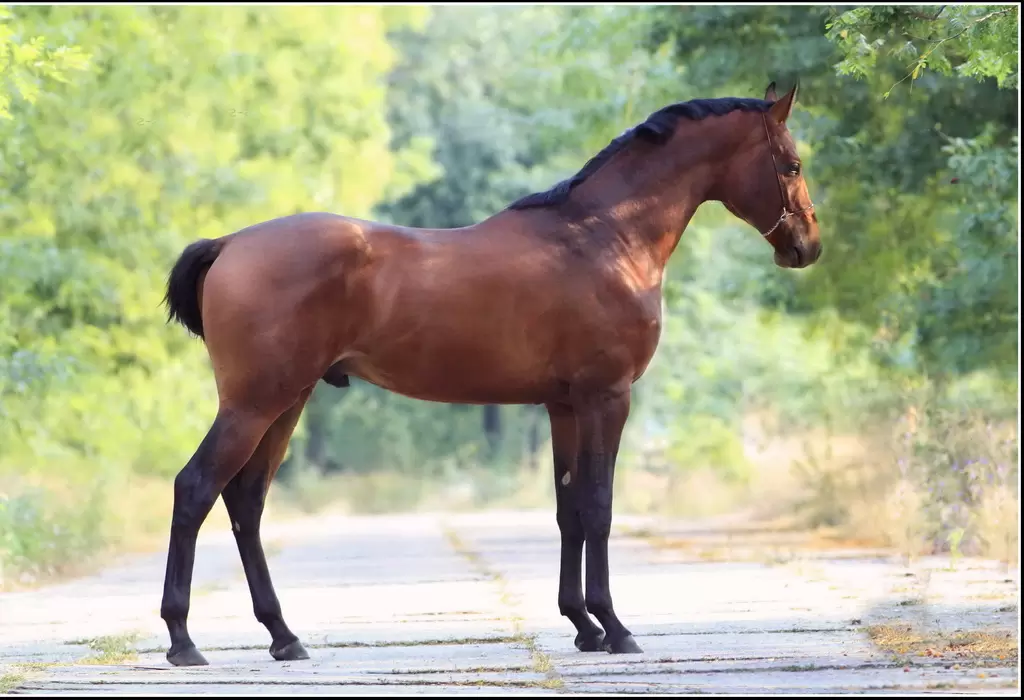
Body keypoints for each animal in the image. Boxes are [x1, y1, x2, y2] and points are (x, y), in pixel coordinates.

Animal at [155, 81, 819, 667]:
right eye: (791, 163)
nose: (807, 246)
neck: (604, 236)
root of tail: (230, 243)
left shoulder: (563, 406)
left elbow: (569, 508)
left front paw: (583, 626)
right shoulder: (607, 398)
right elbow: (599, 506)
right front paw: (616, 627)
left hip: (285, 403)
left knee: (245, 503)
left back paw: (284, 636)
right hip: (254, 404)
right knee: (195, 489)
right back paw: (183, 640)